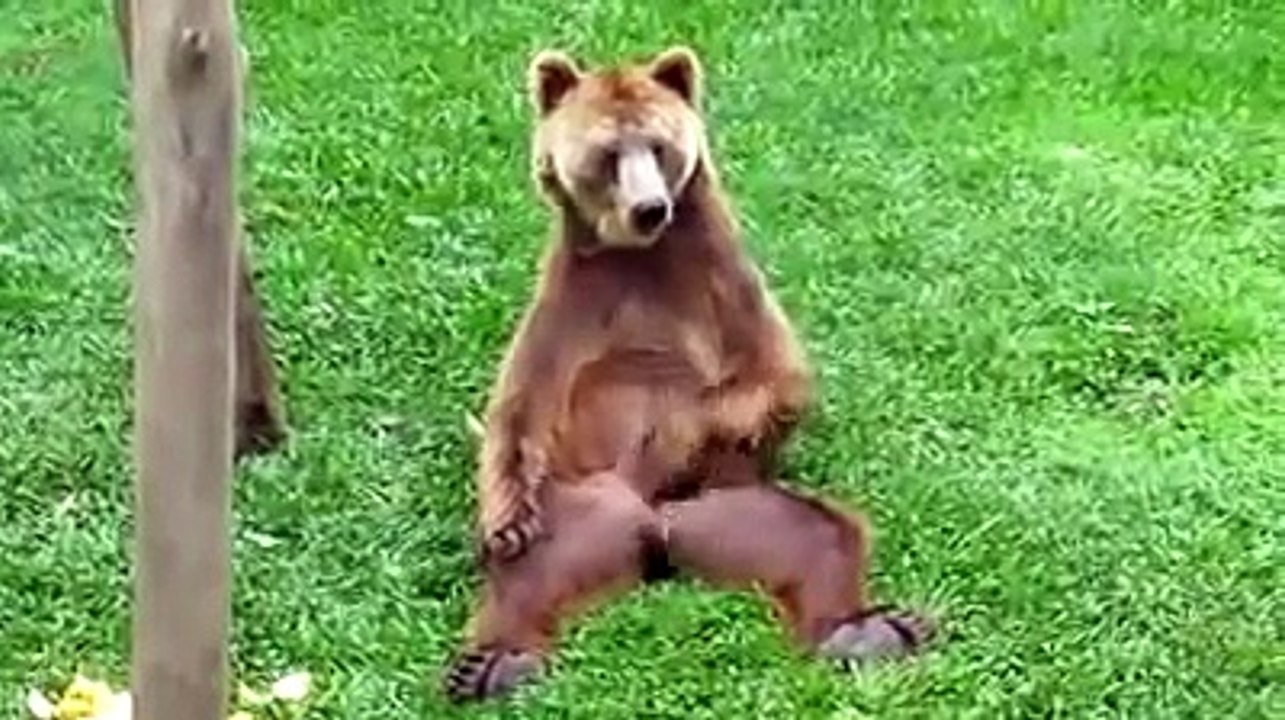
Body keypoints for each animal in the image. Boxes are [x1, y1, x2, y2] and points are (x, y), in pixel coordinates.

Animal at [443, 45, 936, 703]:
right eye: (608, 153)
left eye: (659, 146)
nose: (650, 206)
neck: (638, 253)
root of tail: (658, 526)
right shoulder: (571, 297)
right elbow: (522, 406)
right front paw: (504, 523)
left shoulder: (718, 276)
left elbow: (774, 377)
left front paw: (672, 434)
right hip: (582, 506)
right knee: (534, 572)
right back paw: (493, 664)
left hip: (736, 505)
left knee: (821, 535)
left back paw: (868, 632)